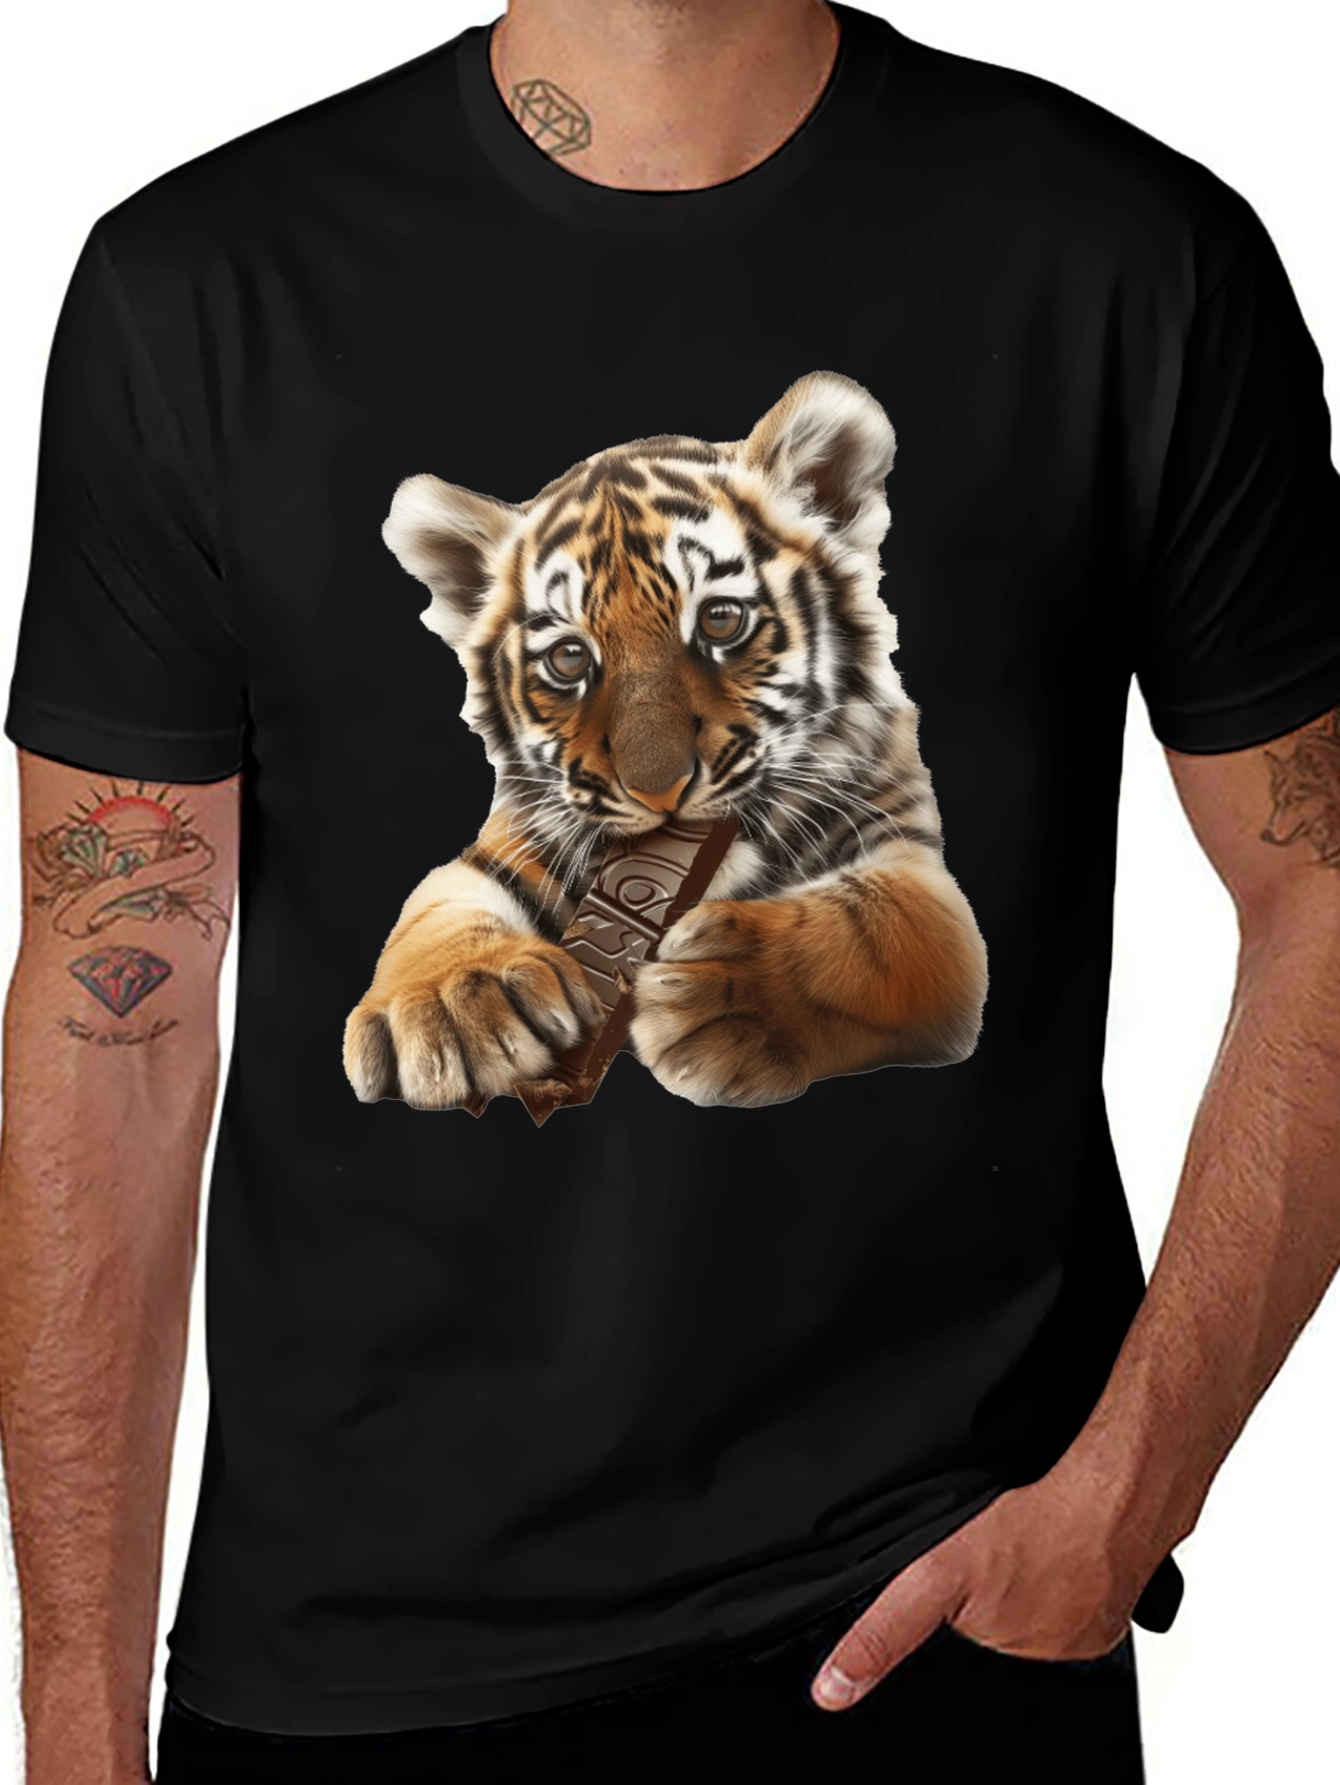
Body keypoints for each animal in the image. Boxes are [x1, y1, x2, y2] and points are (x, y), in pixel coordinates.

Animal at [344, 371, 988, 1111]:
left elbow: (882, 927)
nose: (660, 790)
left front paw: (725, 997)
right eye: (569, 659)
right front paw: (451, 1004)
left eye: (721, 619)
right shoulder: (507, 845)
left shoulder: (913, 858)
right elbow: (435, 906)